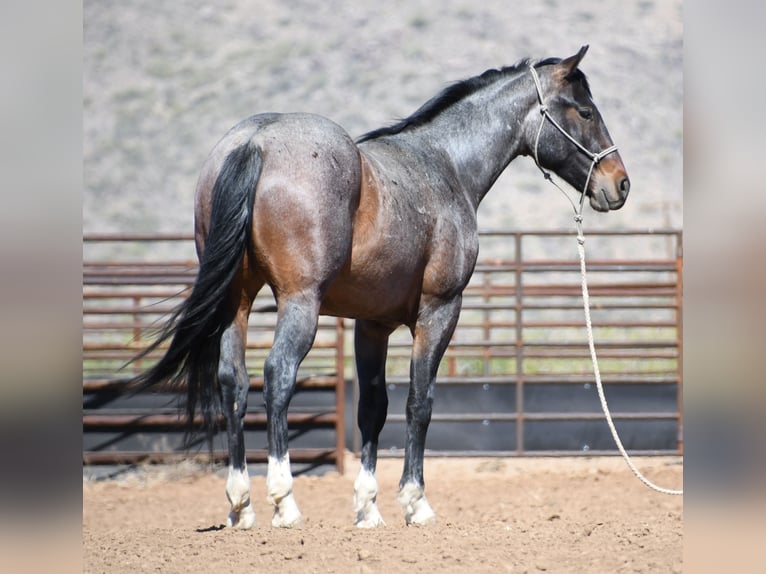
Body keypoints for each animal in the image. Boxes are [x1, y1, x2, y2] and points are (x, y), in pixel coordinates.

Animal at [131, 45, 630, 529]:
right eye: (585, 112)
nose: (620, 183)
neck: (445, 166)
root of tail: (254, 141)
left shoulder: (371, 325)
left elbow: (372, 406)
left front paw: (368, 508)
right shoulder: (439, 312)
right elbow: (418, 402)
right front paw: (414, 502)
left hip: (237, 303)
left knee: (233, 381)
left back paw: (242, 504)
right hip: (299, 303)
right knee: (277, 376)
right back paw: (284, 502)